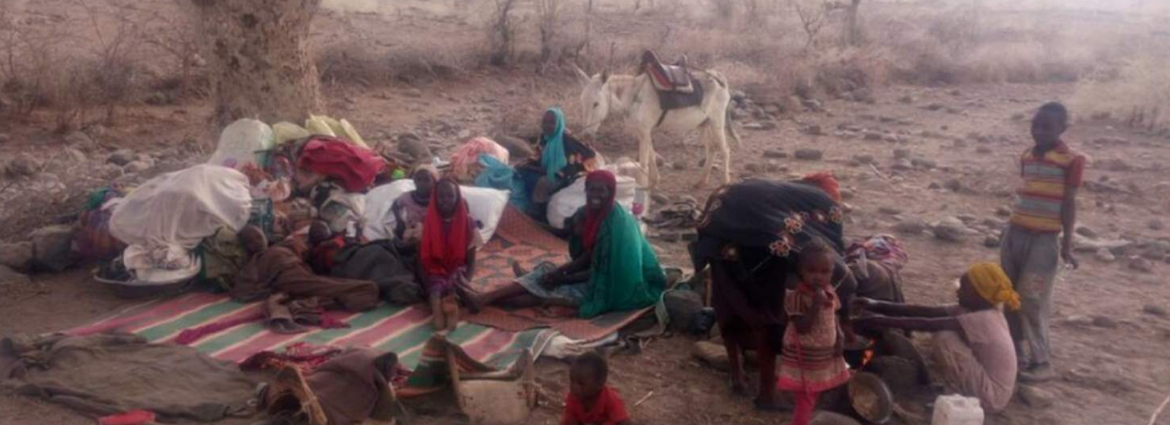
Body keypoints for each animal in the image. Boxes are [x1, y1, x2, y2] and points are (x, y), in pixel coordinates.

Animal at [574, 65, 741, 188]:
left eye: (596, 104)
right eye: (581, 102)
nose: (586, 135)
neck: (632, 97)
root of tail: (719, 76)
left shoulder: (644, 131)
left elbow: (643, 162)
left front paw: (642, 186)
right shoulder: (643, 133)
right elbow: (652, 156)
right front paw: (654, 182)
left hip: (717, 123)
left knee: (725, 150)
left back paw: (725, 182)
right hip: (703, 125)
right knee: (712, 148)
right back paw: (701, 181)